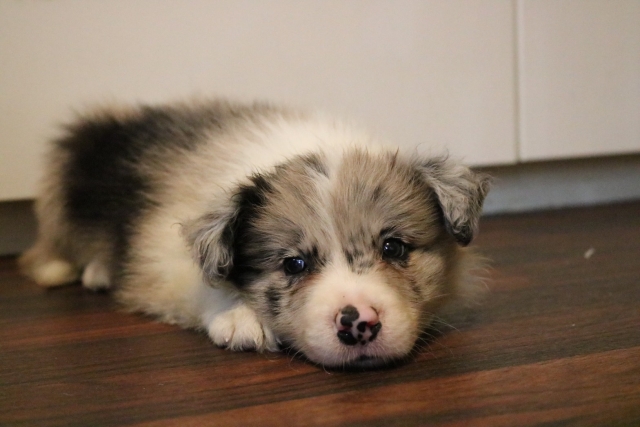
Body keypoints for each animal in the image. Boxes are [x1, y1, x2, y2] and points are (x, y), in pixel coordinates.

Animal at [20, 99, 490, 368]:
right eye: (294, 264)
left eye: (393, 247)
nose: (358, 324)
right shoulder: (162, 249)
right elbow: (202, 280)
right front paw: (242, 319)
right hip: (71, 173)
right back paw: (87, 270)